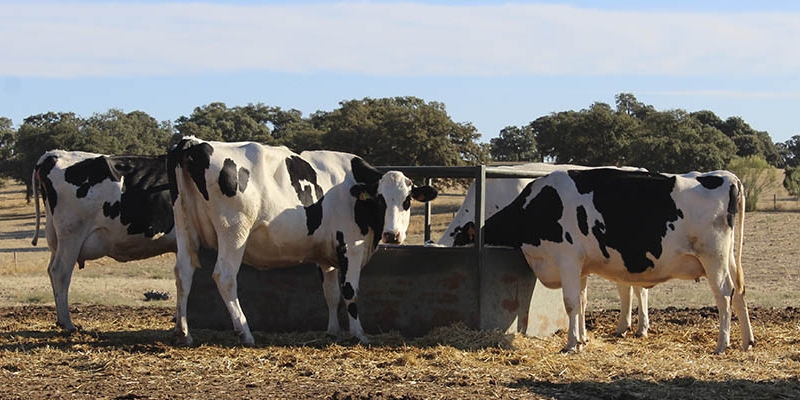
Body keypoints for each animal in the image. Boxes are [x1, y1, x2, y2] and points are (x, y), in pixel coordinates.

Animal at [32, 150, 175, 332]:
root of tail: (54, 154)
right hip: (71, 236)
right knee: (60, 272)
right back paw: (67, 323)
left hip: (56, 241)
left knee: (51, 271)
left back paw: (60, 320)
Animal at [168, 137, 438, 344]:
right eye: (380, 200)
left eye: (407, 200)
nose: (393, 235)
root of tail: (193, 143)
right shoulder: (350, 246)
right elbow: (350, 291)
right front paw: (359, 334)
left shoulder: (326, 257)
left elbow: (331, 293)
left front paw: (333, 331)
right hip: (234, 231)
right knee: (224, 276)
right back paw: (245, 332)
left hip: (184, 225)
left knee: (184, 272)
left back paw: (184, 333)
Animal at [476, 166, 756, 354]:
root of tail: (727, 177)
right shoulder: (581, 266)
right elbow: (582, 302)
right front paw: (583, 339)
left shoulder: (567, 259)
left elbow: (570, 303)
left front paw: (571, 344)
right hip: (728, 258)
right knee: (739, 292)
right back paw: (747, 342)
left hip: (713, 257)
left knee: (724, 295)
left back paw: (722, 344)